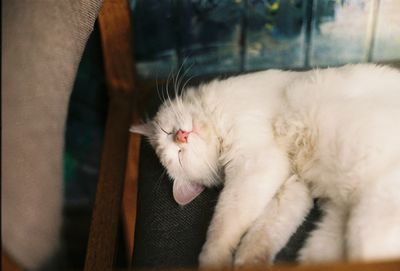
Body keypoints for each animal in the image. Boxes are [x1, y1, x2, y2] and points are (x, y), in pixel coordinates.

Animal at [130, 64, 400, 268]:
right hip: (333, 233)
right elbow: (263, 230)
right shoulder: (291, 182)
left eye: (168, 134)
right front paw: (249, 261)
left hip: (366, 223)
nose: (181, 136)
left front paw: (213, 259)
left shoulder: (256, 162)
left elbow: (223, 223)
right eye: (179, 155)